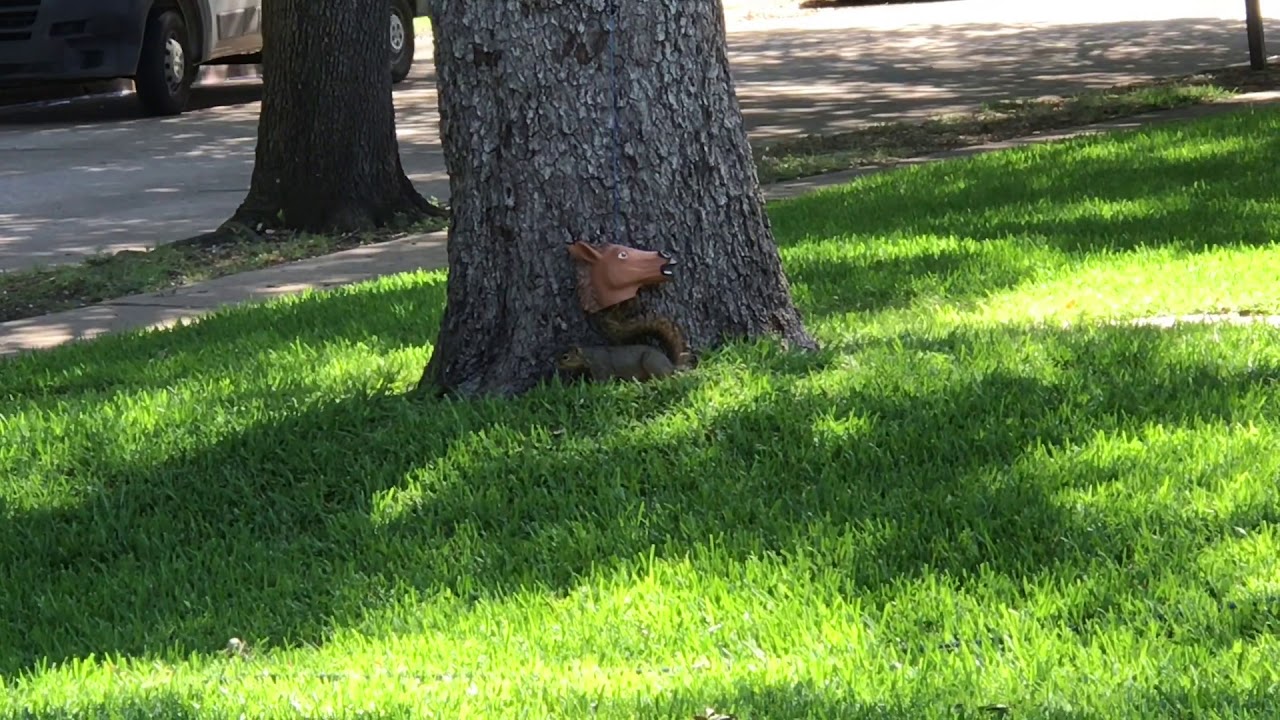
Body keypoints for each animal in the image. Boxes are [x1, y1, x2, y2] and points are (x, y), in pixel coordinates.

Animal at [556, 309, 697, 383]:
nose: (558, 364)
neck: (589, 355)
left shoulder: (601, 367)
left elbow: (602, 380)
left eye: (565, 357)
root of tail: (670, 364)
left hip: (651, 361)